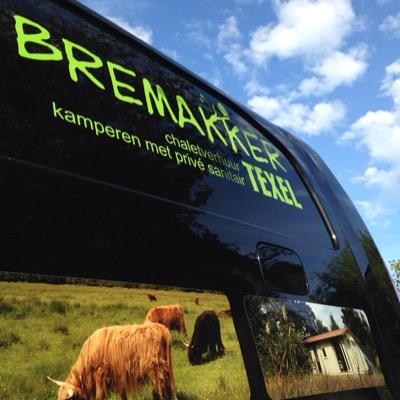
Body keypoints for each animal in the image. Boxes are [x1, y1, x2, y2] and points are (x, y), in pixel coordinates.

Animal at [48, 324, 177, 400]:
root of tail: (161, 328)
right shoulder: (118, 376)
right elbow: (122, 394)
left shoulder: (100, 374)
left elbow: (99, 396)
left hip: (158, 370)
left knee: (163, 391)